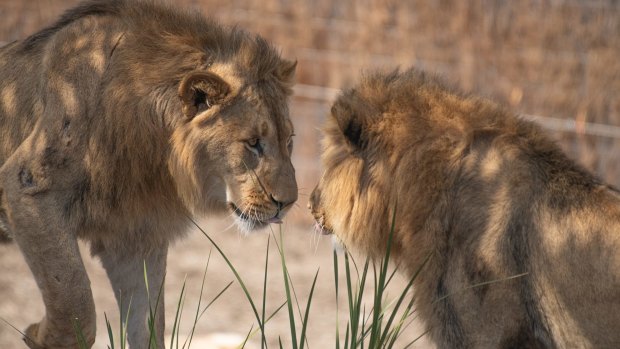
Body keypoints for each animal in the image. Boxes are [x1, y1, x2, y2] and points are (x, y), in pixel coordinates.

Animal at [0, 1, 298, 346]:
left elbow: (149, 324)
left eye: (288, 141)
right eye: (252, 143)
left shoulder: (134, 235)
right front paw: (39, 334)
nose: (287, 203)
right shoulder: (28, 187)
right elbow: (75, 300)